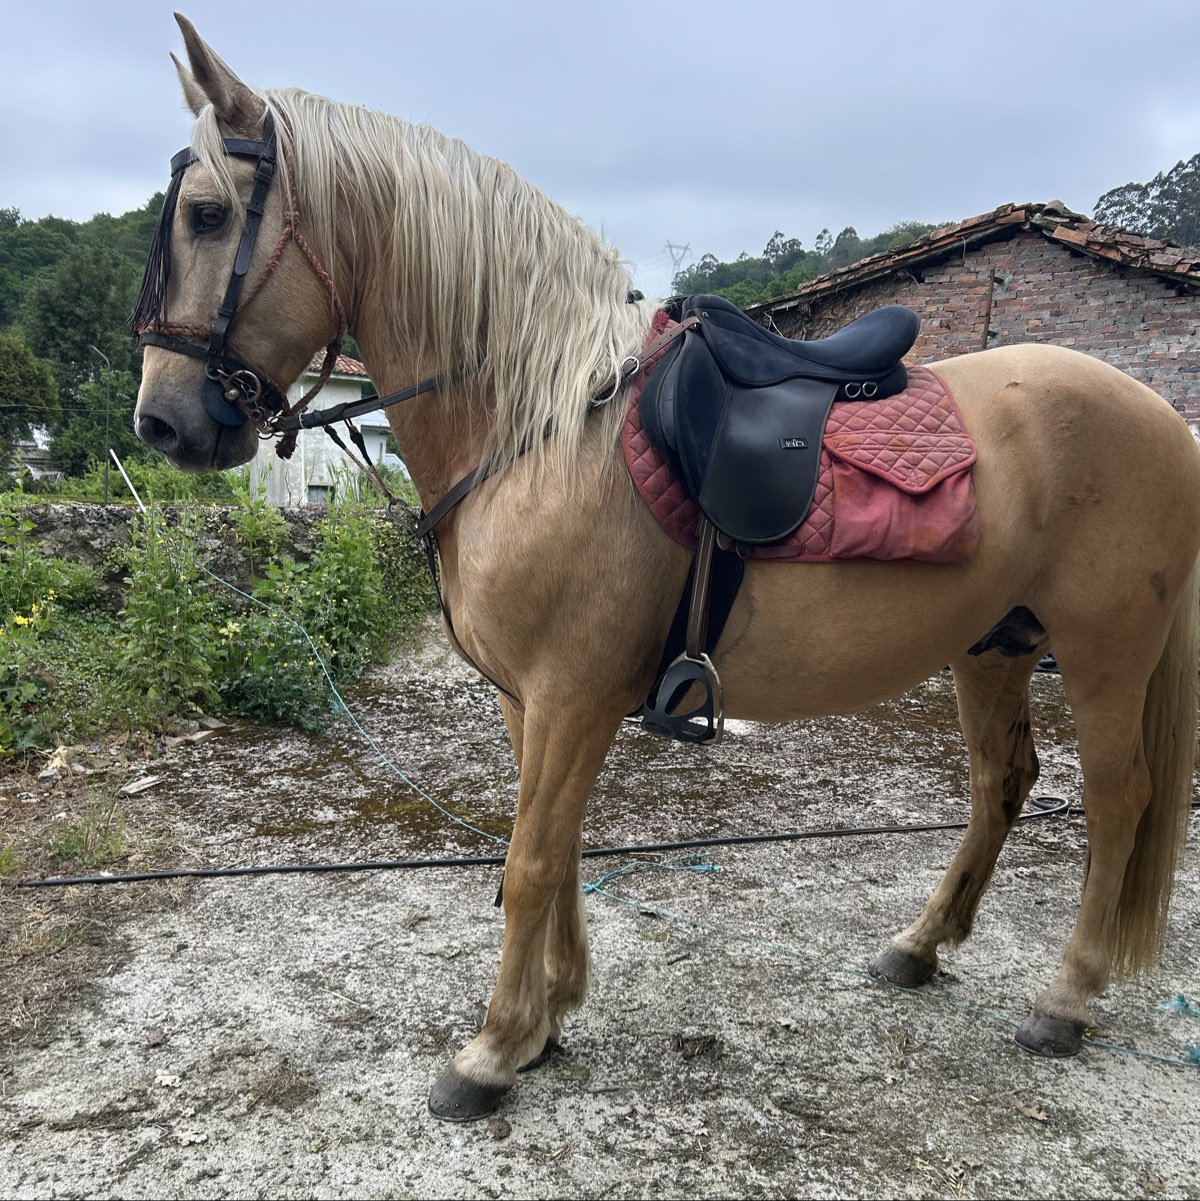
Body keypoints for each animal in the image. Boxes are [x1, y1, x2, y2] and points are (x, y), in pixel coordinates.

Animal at [134, 15, 1200, 1122]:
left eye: (208, 214)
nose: (159, 421)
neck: (540, 424)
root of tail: (1165, 418)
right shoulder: (532, 698)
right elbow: (556, 849)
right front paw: (548, 1019)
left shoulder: (573, 695)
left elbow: (529, 858)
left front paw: (490, 1050)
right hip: (995, 645)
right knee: (1003, 784)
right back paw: (919, 946)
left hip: (1104, 650)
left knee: (1120, 797)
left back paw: (1065, 999)